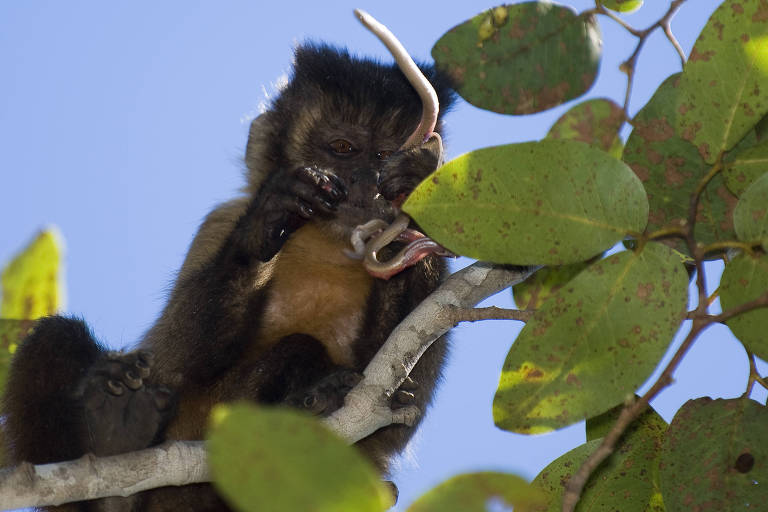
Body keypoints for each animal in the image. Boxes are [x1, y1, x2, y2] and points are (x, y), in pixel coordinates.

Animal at [3, 44, 452, 512]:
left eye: (384, 157)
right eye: (343, 148)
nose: (367, 184)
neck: (326, 243)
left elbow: (398, 410)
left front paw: (417, 191)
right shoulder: (220, 221)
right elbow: (177, 360)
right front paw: (264, 225)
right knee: (56, 336)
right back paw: (114, 451)